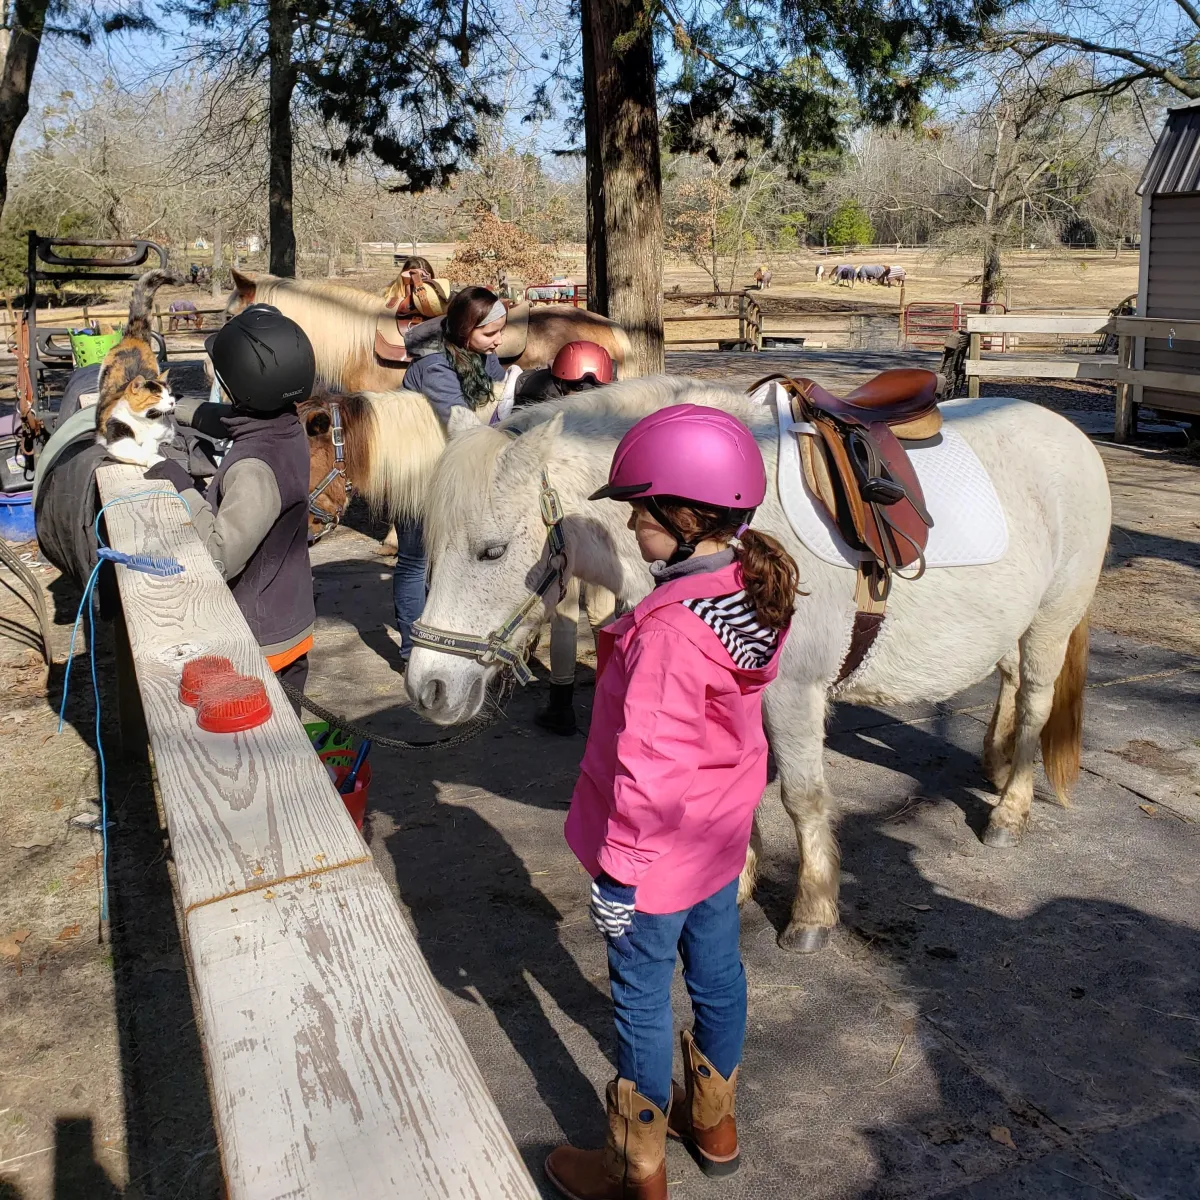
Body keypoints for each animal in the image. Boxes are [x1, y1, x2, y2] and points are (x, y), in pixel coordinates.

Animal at [96, 270, 181, 465]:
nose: (172, 402)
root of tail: (133, 337)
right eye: (157, 396)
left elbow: (154, 440)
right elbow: (140, 452)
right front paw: (156, 460)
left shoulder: (167, 432)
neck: (145, 422)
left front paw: (152, 448)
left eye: (169, 394)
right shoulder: (119, 438)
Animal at [405, 379, 1113, 950]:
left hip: (1051, 620)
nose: (428, 687)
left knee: (1035, 701)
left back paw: (1011, 809)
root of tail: (1069, 433)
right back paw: (995, 764)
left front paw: (813, 914)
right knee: (1011, 682)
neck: (732, 540)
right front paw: (732, 882)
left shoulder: (793, 693)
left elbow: (801, 797)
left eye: (492, 551)